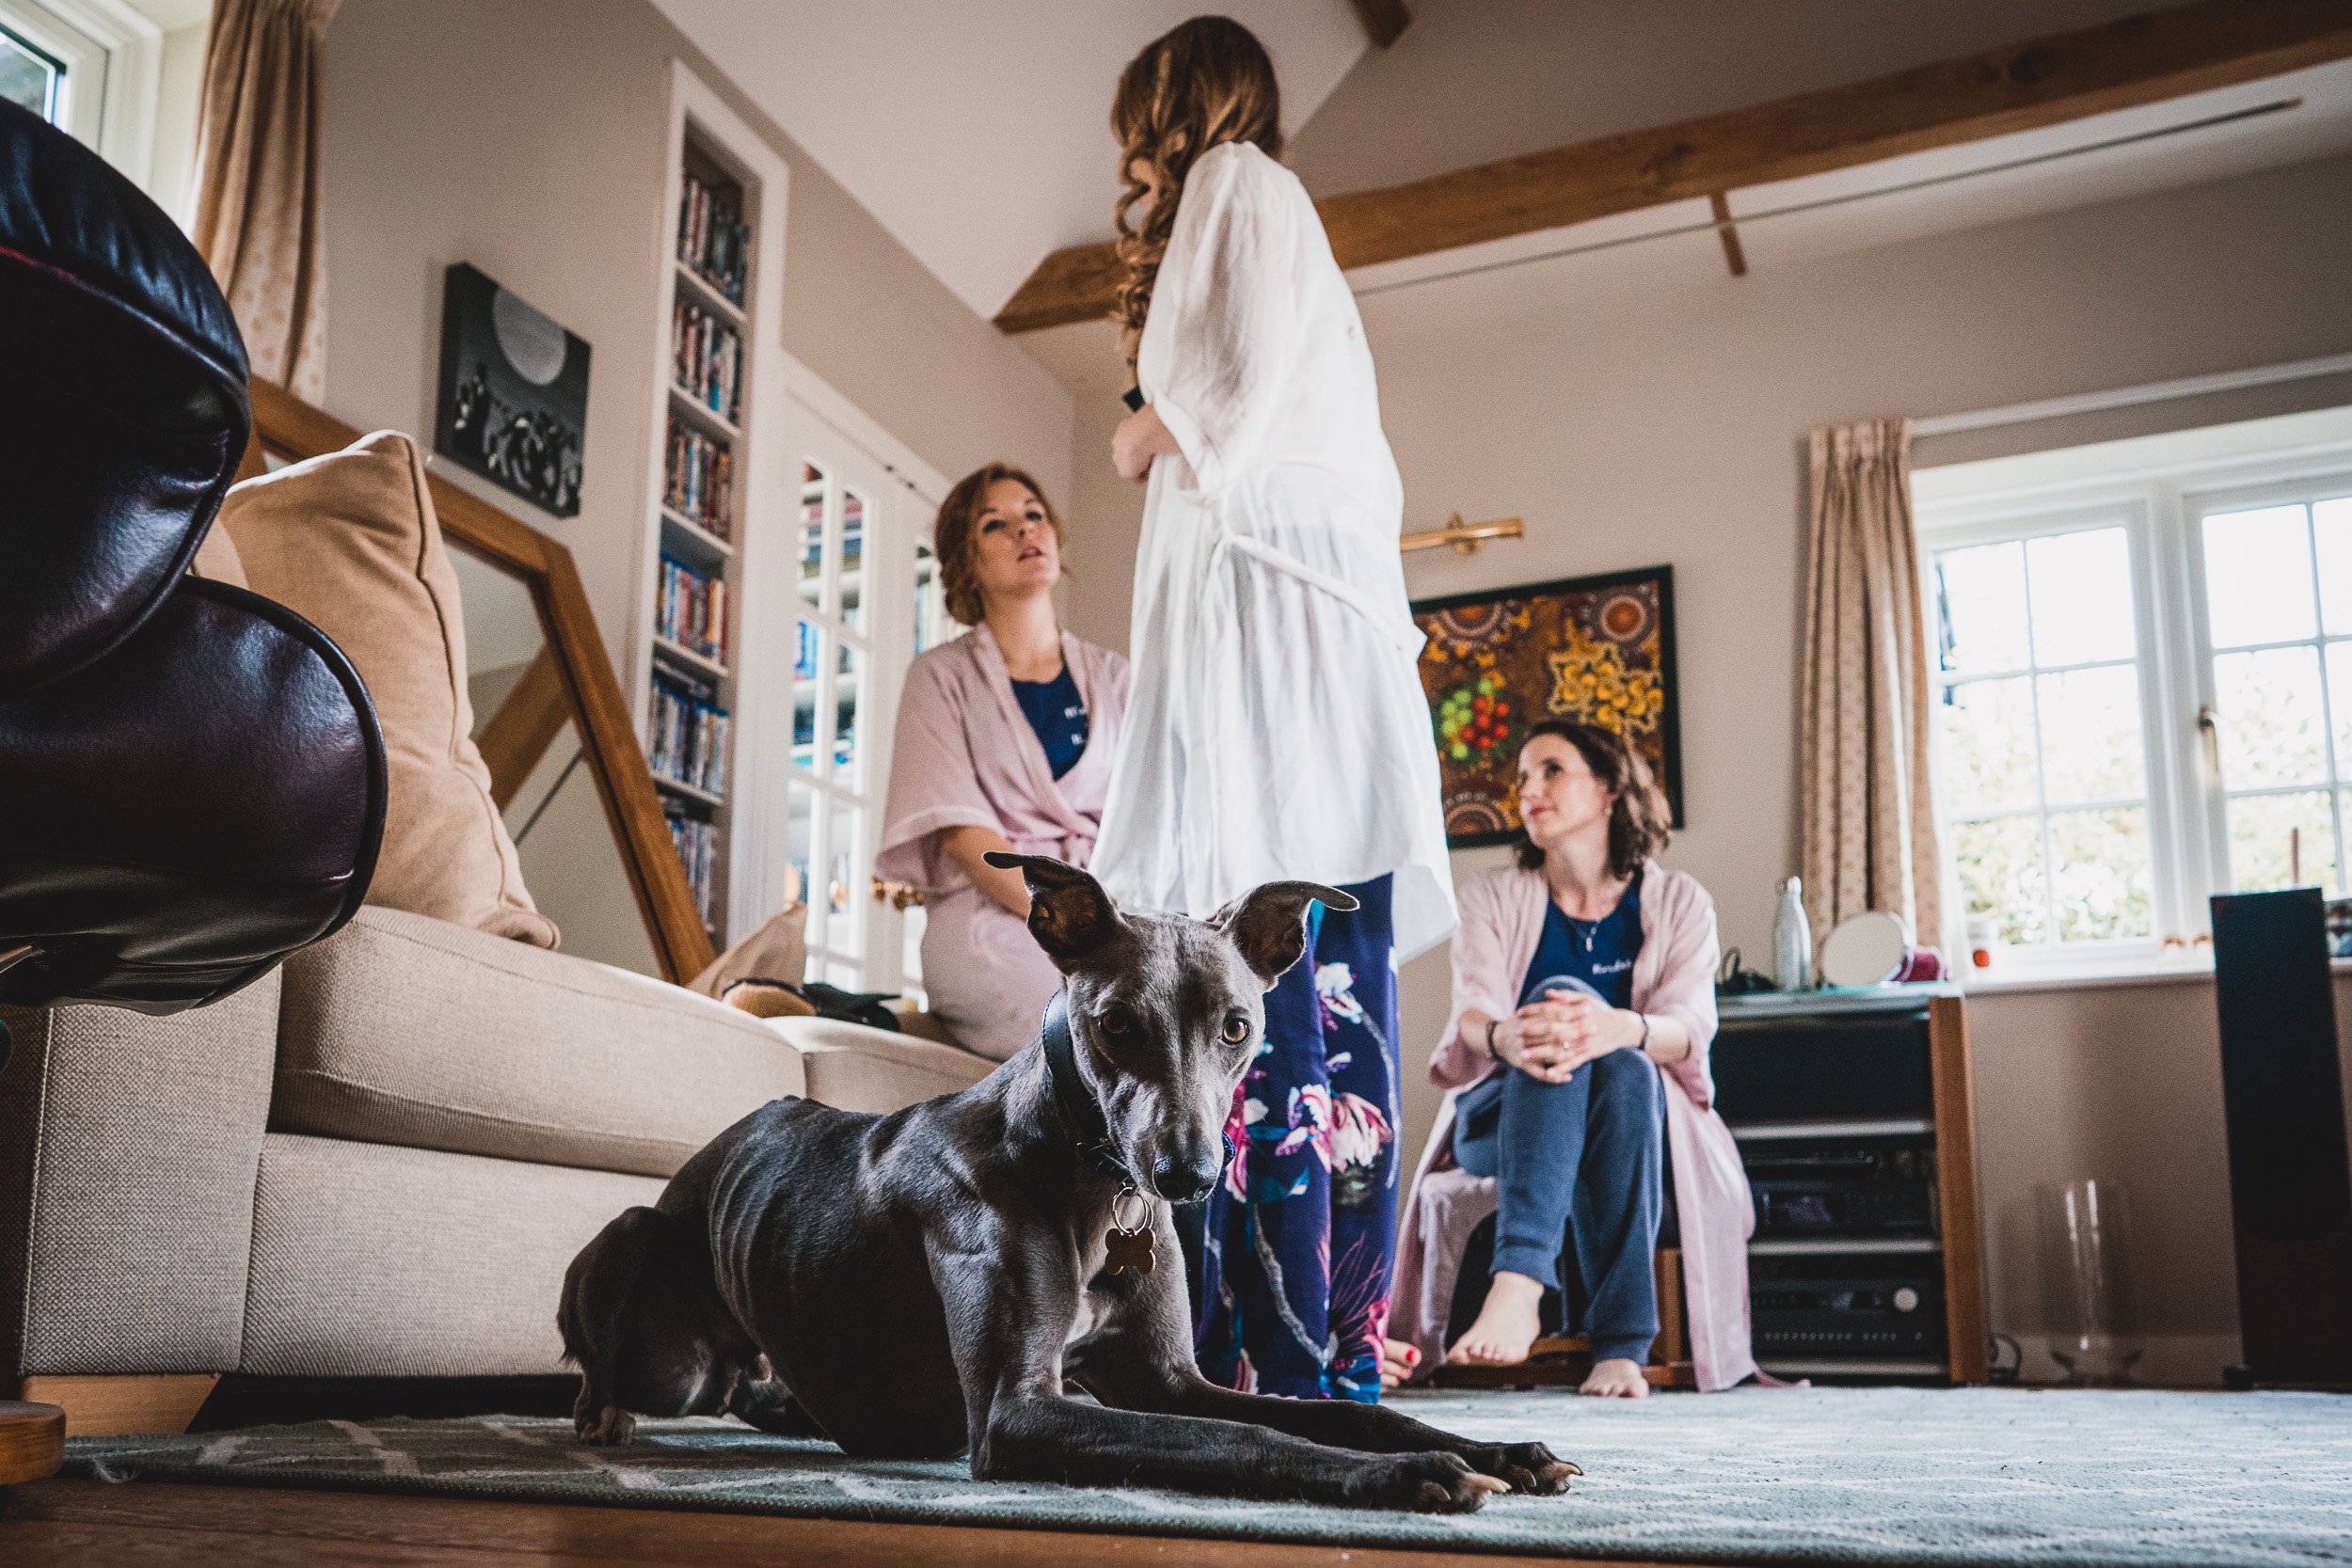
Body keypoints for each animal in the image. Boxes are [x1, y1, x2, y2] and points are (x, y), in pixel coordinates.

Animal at [555, 850, 1581, 1513]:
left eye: (1238, 1025)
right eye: (1116, 1022)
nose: (1186, 1176)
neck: (1093, 1180)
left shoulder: (1171, 1377)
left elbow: (1341, 1412)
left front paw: (1494, 1447)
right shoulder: (1019, 1411)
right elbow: (1247, 1438)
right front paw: (1411, 1476)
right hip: (640, 1258)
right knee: (610, 1358)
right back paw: (598, 1413)